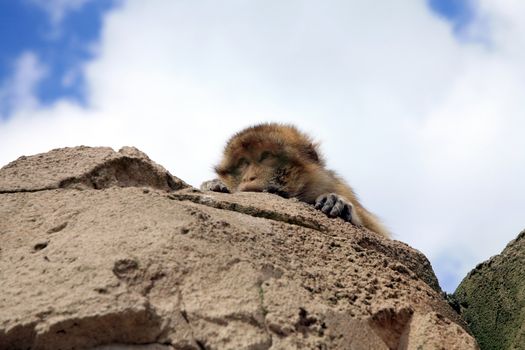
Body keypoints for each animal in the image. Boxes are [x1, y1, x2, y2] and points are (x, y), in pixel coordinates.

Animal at [203, 123, 386, 238]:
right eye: (243, 163)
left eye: (266, 156)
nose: (249, 177)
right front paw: (213, 184)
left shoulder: (337, 186)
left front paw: (336, 202)